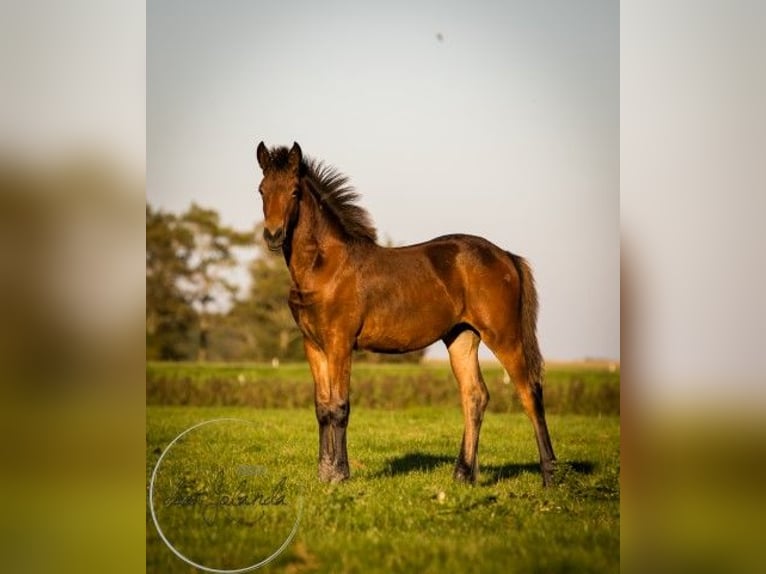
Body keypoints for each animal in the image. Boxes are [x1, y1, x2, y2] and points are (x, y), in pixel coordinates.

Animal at [258, 143, 560, 486]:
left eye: (294, 191)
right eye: (262, 189)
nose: (273, 235)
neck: (324, 267)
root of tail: (506, 256)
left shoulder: (340, 343)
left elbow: (339, 406)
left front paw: (340, 473)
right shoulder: (313, 345)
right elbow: (322, 407)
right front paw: (324, 473)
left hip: (503, 334)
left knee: (529, 391)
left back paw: (549, 475)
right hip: (461, 337)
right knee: (475, 395)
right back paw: (462, 475)